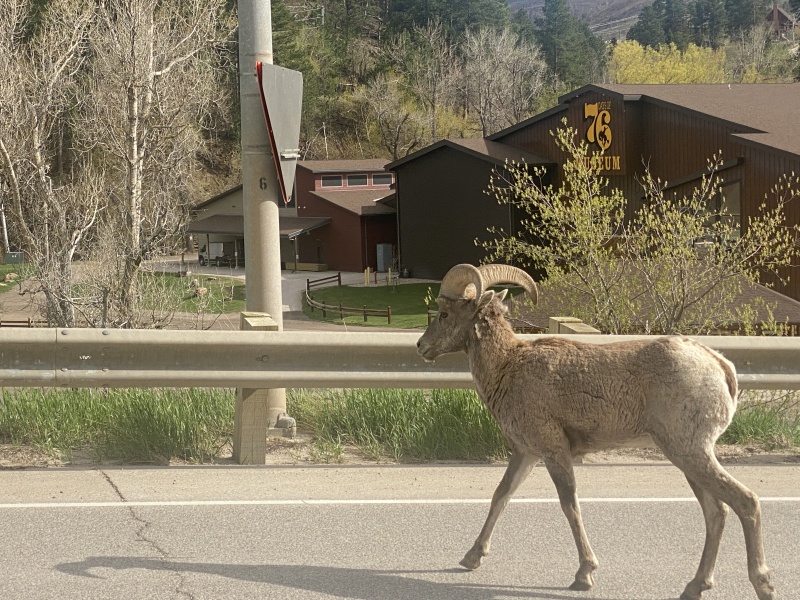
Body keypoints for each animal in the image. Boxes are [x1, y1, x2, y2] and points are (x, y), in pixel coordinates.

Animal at [416, 263, 775, 600]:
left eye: (445, 314)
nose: (421, 346)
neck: (508, 366)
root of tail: (720, 366)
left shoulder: (554, 451)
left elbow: (570, 506)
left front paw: (584, 575)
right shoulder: (527, 453)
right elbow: (501, 495)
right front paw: (471, 558)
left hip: (690, 452)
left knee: (745, 502)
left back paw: (763, 585)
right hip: (688, 458)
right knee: (716, 513)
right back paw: (694, 587)